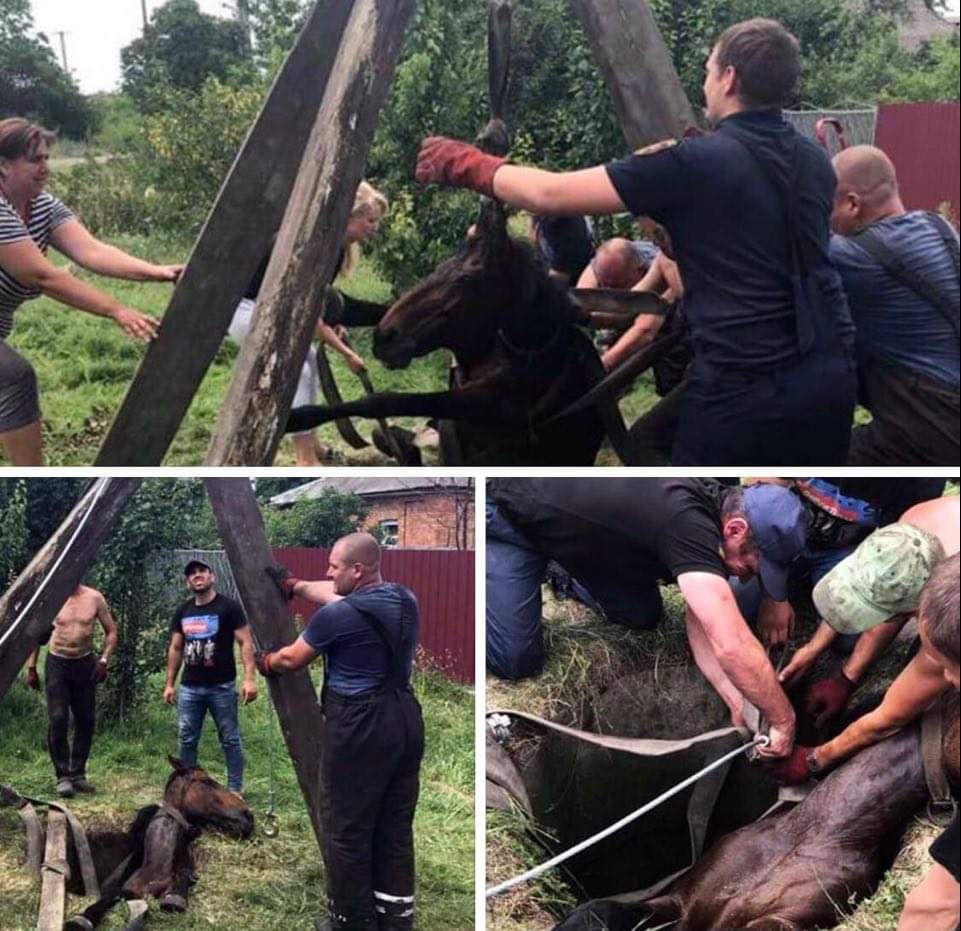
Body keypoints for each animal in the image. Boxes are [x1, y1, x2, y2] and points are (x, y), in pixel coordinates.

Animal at [63, 756, 251, 931]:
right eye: (207, 782)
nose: (248, 816)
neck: (153, 869)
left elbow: (185, 873)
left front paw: (175, 898)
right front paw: (82, 919)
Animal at [284, 204, 636, 466]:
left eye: (466, 280)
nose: (384, 337)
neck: (530, 354)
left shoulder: (489, 403)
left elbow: (385, 400)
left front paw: (299, 417)